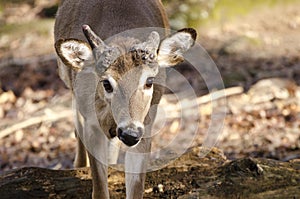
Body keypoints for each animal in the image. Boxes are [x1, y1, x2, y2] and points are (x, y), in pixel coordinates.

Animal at [54, 0, 197, 198]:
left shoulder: (146, 125)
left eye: (149, 81)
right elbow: (100, 189)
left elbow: (136, 188)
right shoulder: (92, 123)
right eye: (106, 83)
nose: (129, 133)